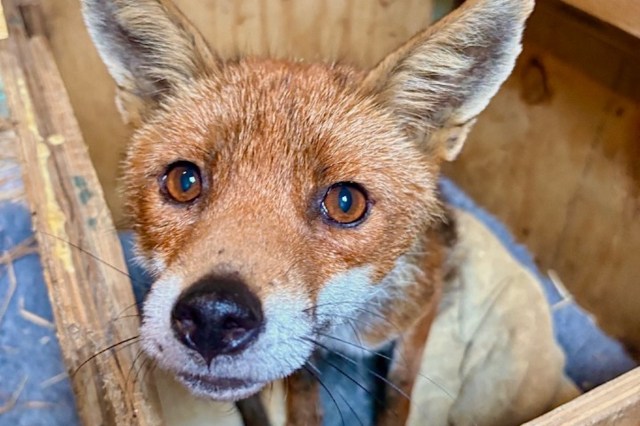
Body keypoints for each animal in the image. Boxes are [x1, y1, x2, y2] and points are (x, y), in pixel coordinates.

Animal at [81, 0, 535, 424]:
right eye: (184, 181)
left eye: (345, 202)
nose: (213, 315)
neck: (344, 327)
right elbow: (302, 394)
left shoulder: (418, 311)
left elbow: (400, 392)